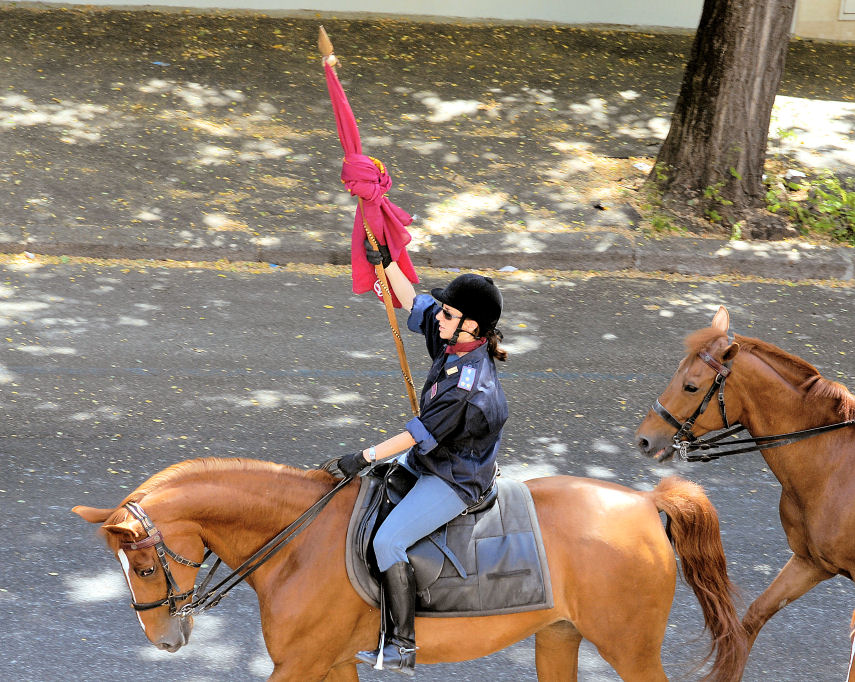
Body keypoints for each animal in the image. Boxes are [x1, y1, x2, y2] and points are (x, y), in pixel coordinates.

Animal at [73, 460, 744, 676]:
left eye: (143, 566)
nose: (163, 639)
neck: (298, 539)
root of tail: (646, 501)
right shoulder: (333, 663)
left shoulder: (299, 666)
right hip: (558, 636)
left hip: (630, 649)